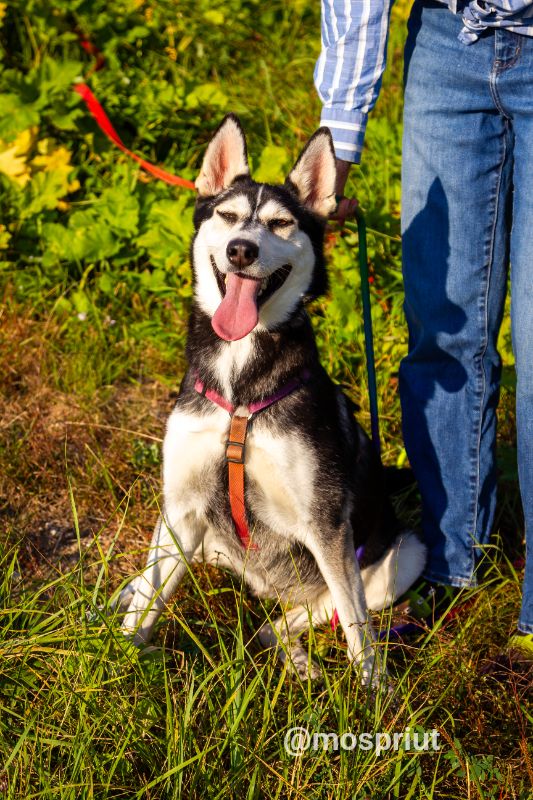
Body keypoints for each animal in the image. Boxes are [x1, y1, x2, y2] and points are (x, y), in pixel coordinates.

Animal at [119, 115, 424, 684]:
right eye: (227, 215)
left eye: (281, 224)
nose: (242, 249)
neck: (241, 385)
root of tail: (264, 587)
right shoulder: (183, 507)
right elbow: (146, 607)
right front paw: (115, 658)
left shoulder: (327, 526)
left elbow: (358, 631)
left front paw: (375, 696)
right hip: (192, 536)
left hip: (402, 556)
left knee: (298, 619)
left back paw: (298, 659)